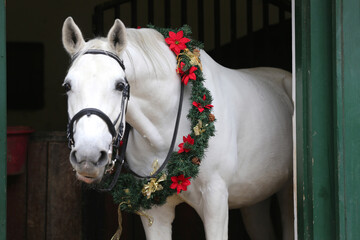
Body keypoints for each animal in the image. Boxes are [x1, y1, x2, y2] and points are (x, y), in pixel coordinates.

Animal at [61, 17, 292, 240]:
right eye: (67, 86)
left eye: (119, 85)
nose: (88, 157)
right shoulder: (154, 210)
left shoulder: (215, 199)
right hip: (254, 196)